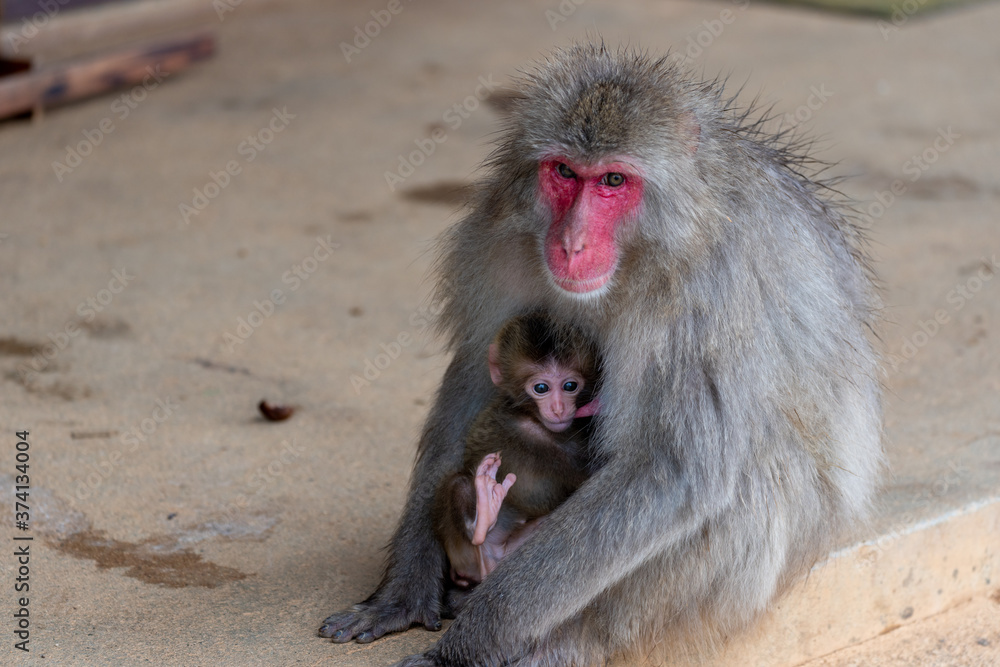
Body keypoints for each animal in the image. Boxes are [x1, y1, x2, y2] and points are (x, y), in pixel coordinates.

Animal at [434, 311, 600, 590]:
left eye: (570, 386)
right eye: (541, 388)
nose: (558, 409)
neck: (530, 416)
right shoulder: (534, 438)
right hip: (461, 552)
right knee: (458, 485)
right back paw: (484, 518)